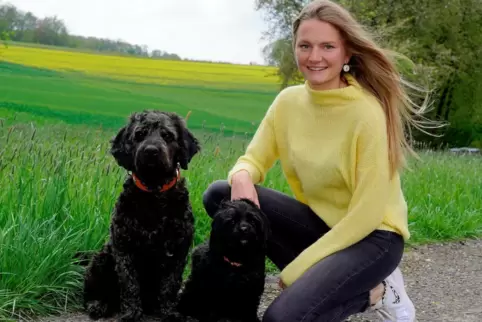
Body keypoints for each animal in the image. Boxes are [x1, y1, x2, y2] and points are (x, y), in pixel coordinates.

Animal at [84, 110, 201, 322]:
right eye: (139, 134)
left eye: (167, 135)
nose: (151, 151)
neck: (153, 194)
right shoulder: (124, 248)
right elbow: (130, 284)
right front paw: (131, 314)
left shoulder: (178, 250)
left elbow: (170, 285)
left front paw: (170, 313)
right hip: (101, 259)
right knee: (93, 292)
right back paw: (98, 304)